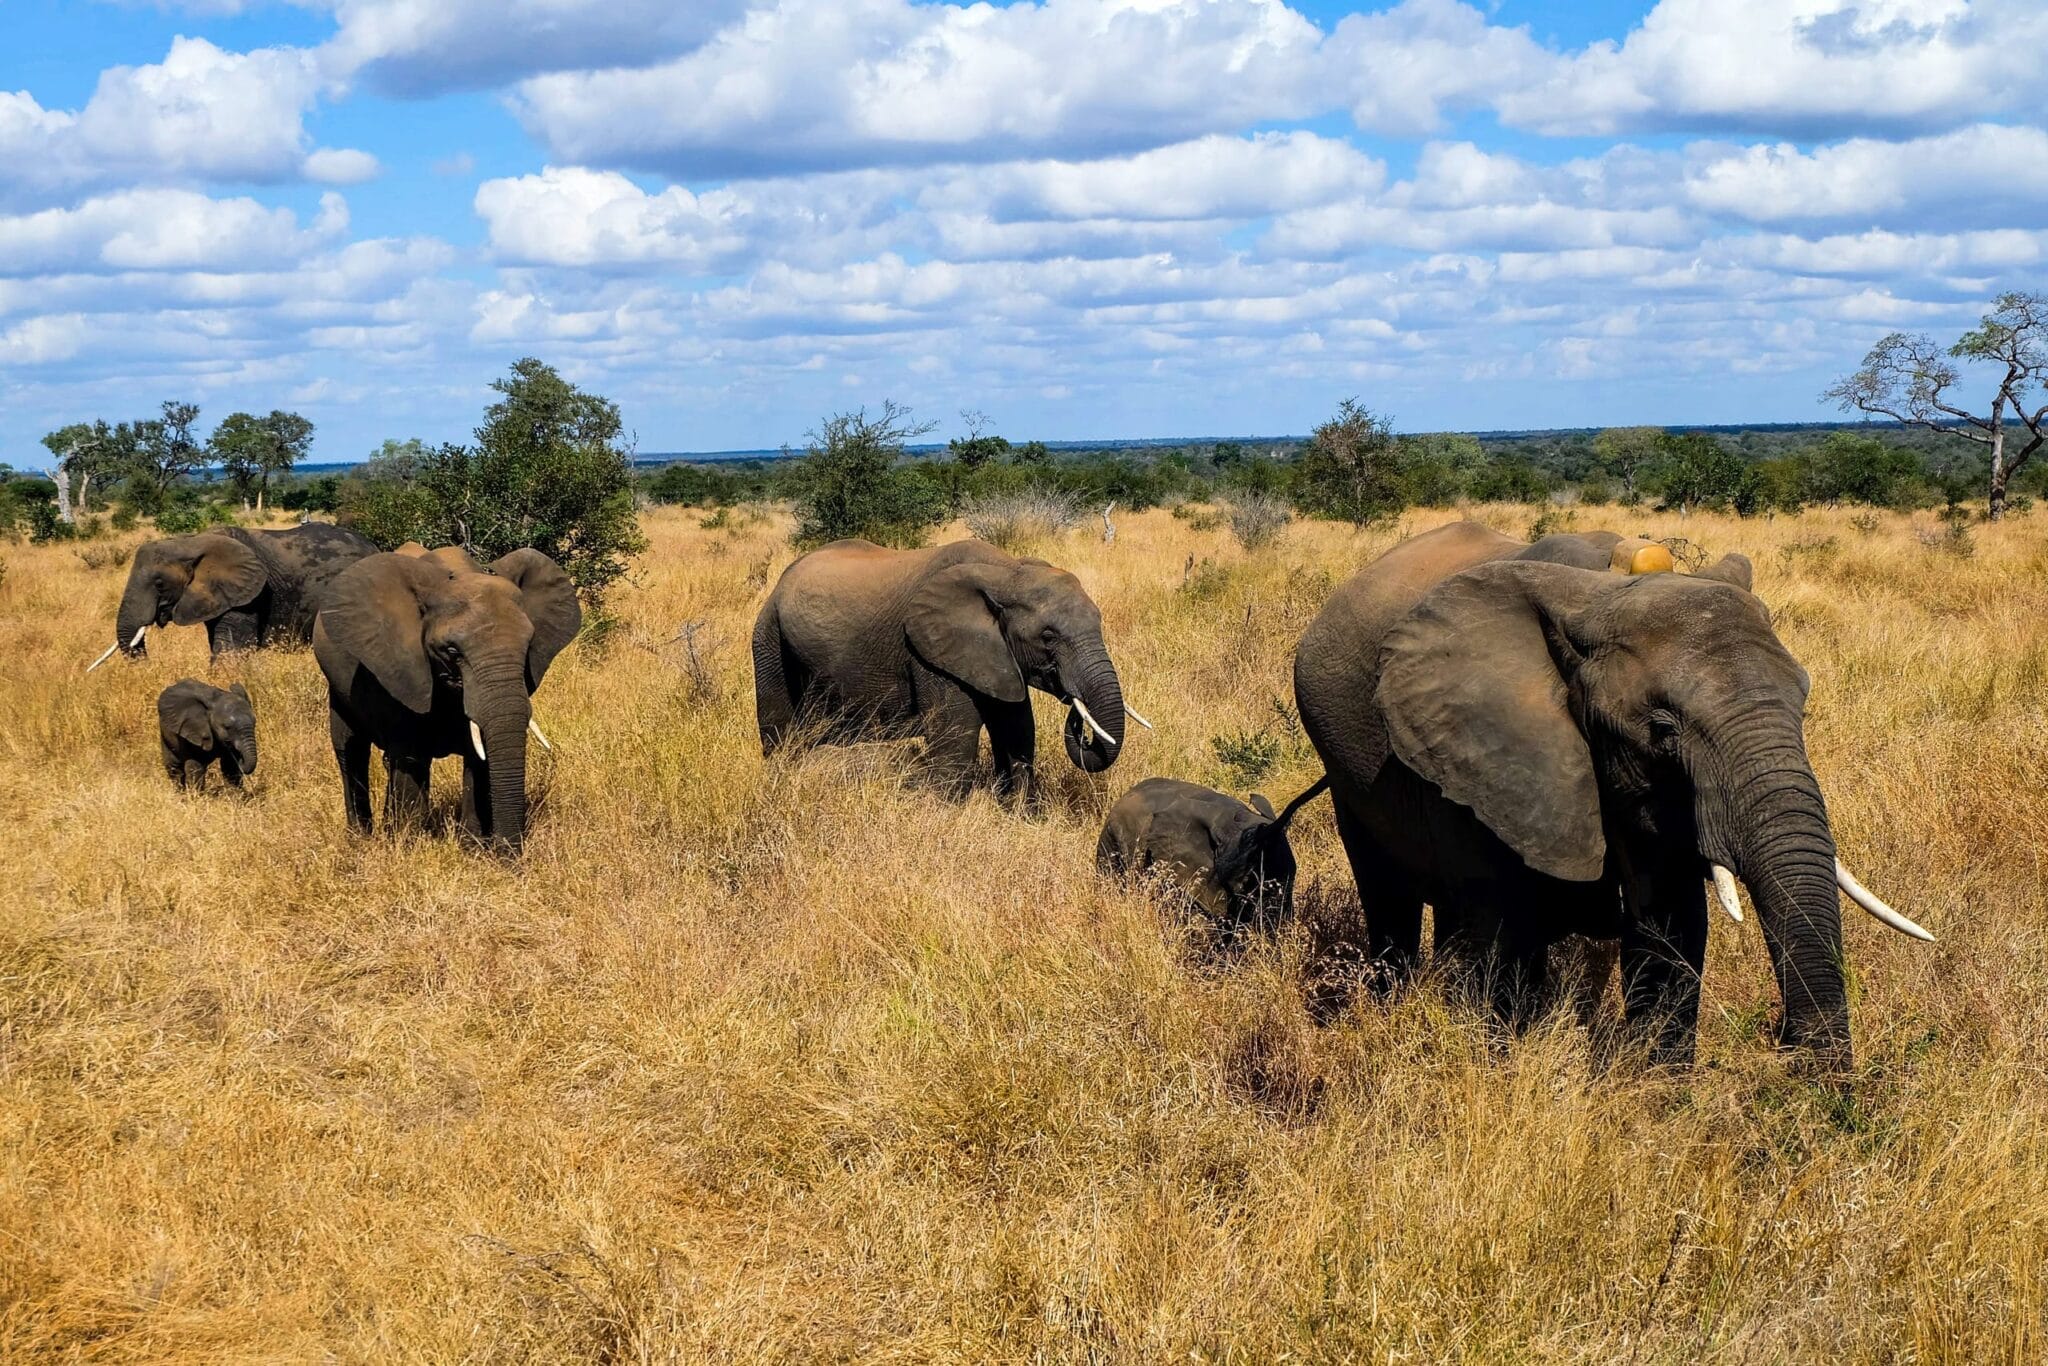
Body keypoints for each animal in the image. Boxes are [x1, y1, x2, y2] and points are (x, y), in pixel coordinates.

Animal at [313, 548, 581, 851]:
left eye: (528, 645)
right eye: (452, 651)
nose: (507, 853)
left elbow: (478, 756)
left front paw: (471, 848)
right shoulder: (402, 668)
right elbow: (411, 755)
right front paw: (409, 846)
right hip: (338, 687)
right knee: (350, 749)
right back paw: (360, 838)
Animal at [752, 539, 1137, 800]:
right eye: (1048, 637)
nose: (1080, 722)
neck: (1007, 572)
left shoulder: (995, 655)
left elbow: (1017, 730)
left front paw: (1025, 816)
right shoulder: (931, 653)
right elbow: (956, 740)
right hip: (768, 638)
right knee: (779, 732)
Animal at [1292, 520, 1930, 1069]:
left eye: (1803, 704)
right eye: (1663, 729)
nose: (1782, 1046)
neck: (1604, 593)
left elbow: (1670, 927)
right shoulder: (1485, 752)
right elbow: (1506, 939)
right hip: (1346, 764)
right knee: (1390, 897)